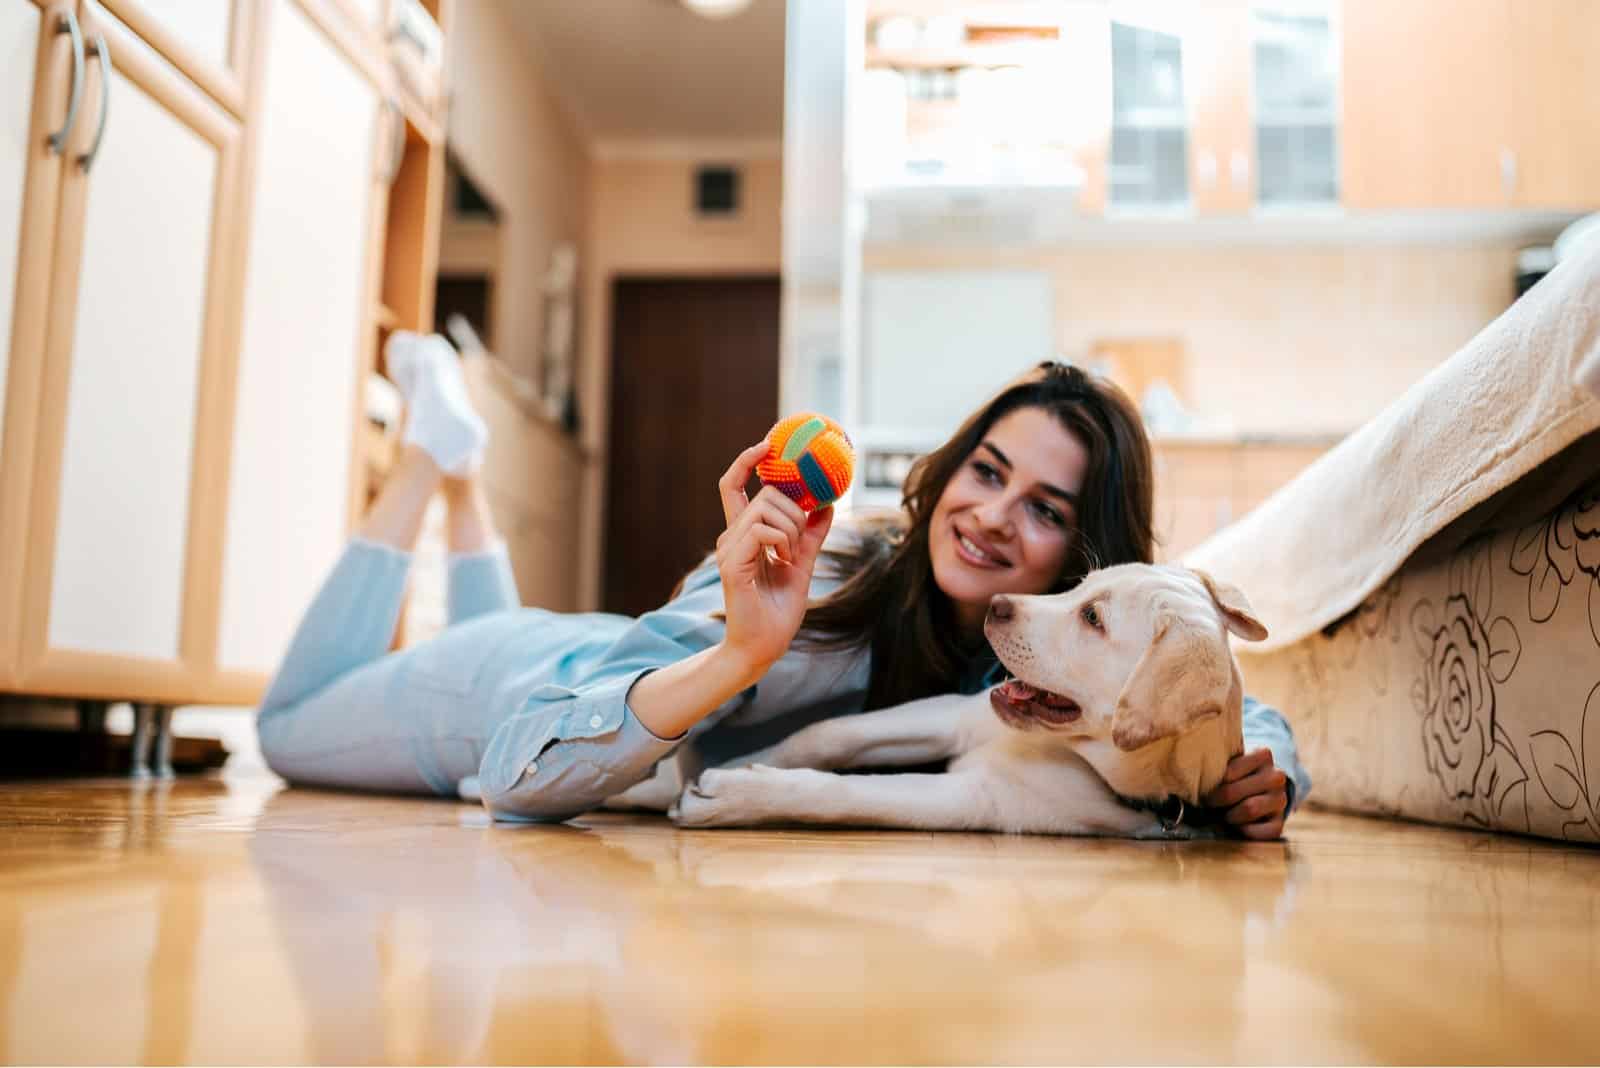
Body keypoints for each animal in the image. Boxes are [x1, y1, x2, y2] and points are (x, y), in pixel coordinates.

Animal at [656, 562, 1267, 837]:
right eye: (1082, 585)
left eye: (1093, 618)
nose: (997, 605)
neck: (1070, 752)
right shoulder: (953, 713)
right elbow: (826, 734)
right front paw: (741, 762)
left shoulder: (979, 798)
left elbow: (846, 792)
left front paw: (736, 793)